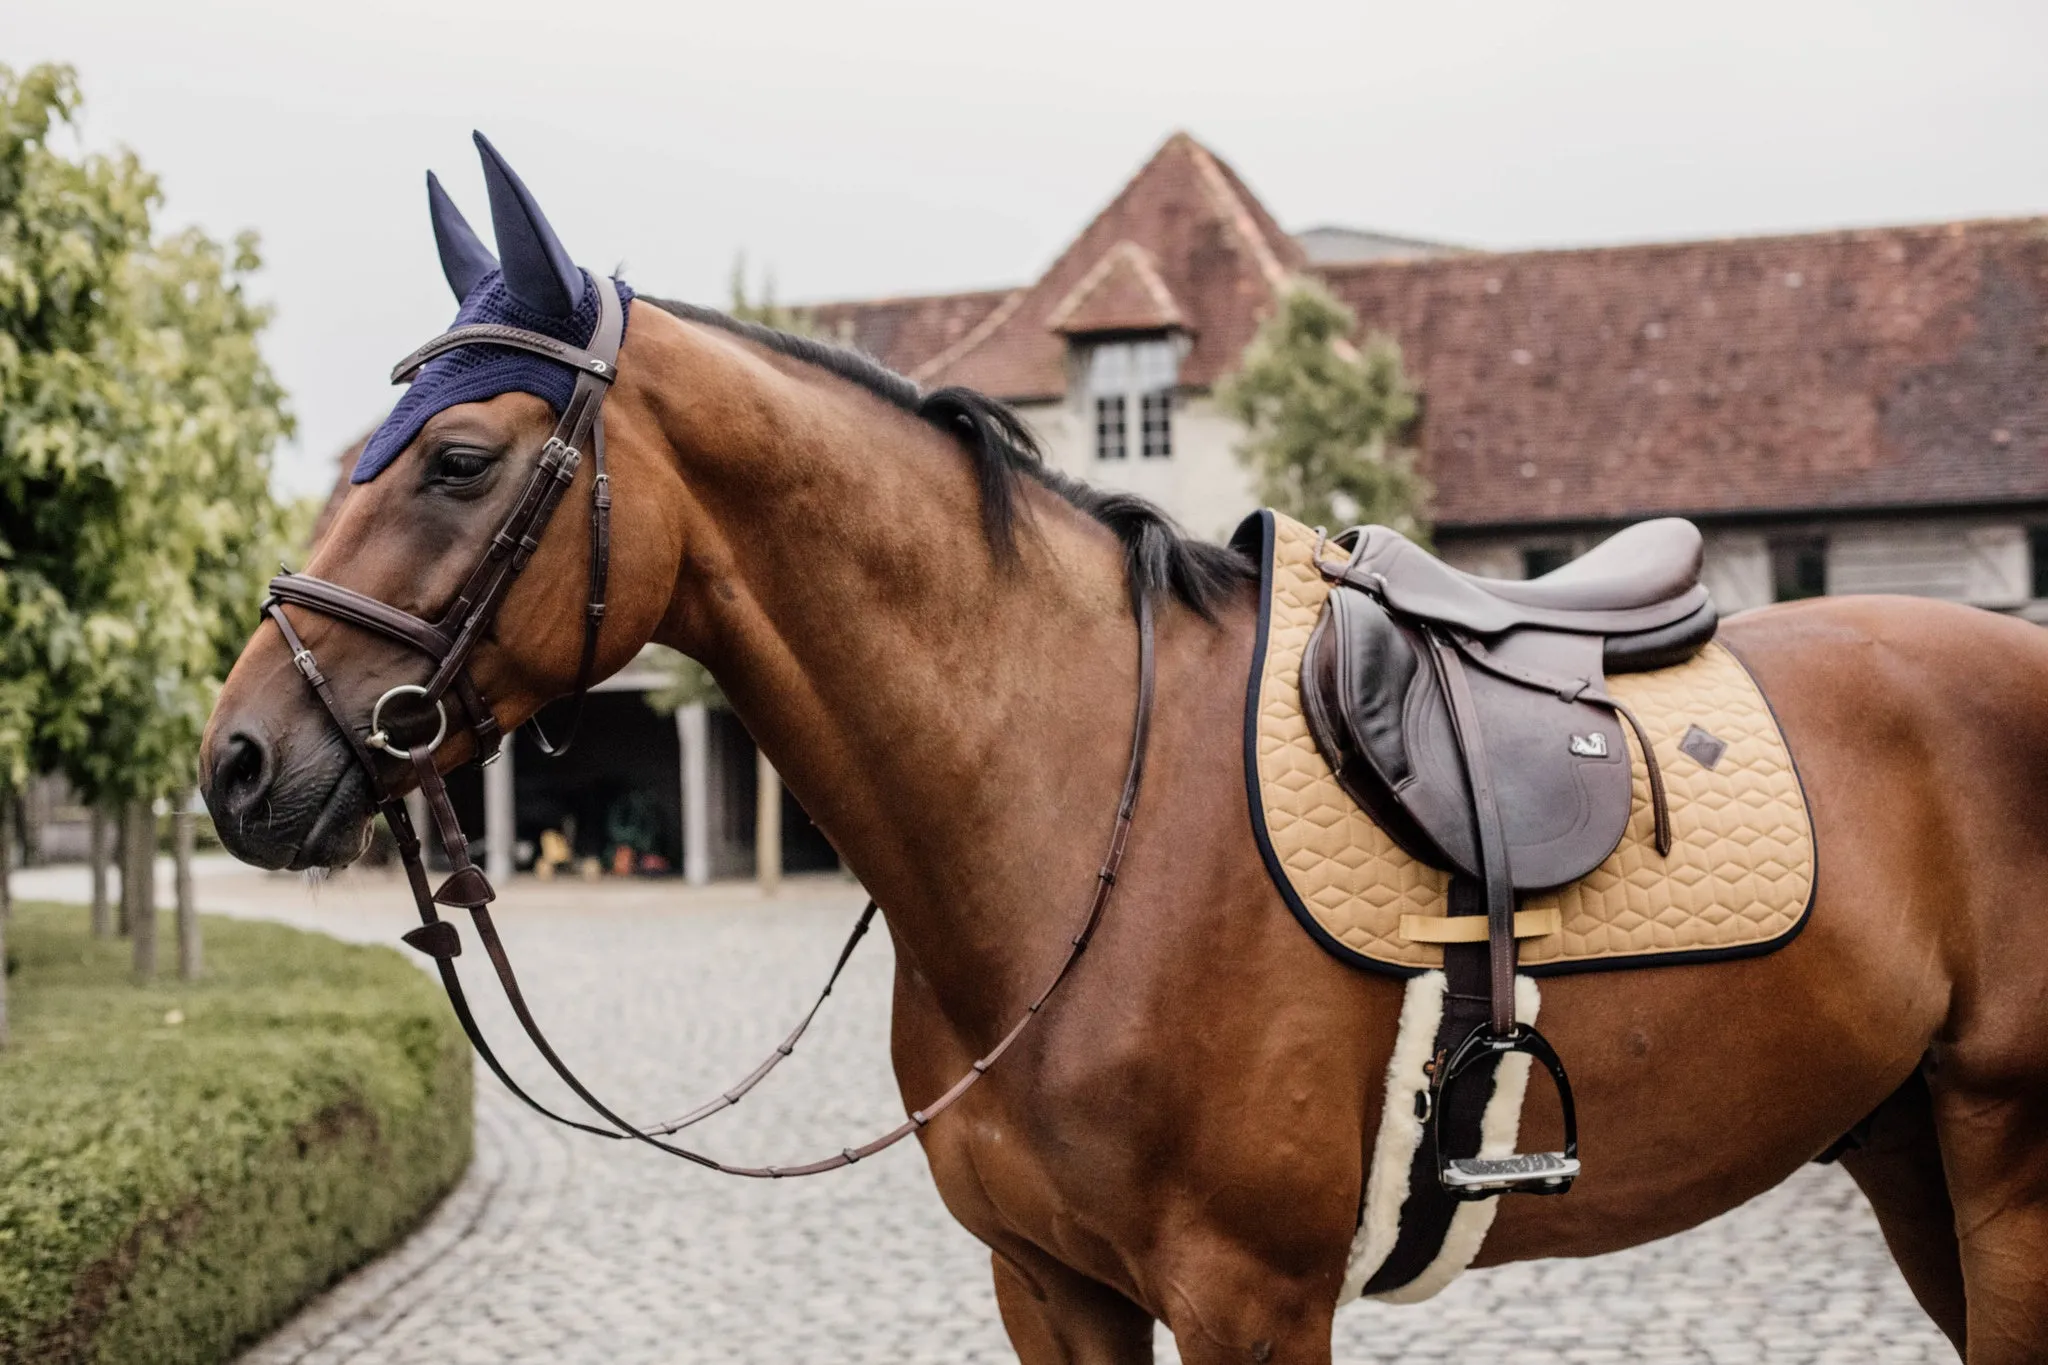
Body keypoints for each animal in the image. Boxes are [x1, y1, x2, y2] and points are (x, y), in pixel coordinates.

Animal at [203, 144, 2048, 1358]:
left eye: (455, 456)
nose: (238, 759)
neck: (1084, 806)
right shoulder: (1049, 1284)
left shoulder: (1248, 1299)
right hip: (1905, 1148)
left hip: (2004, 1162)